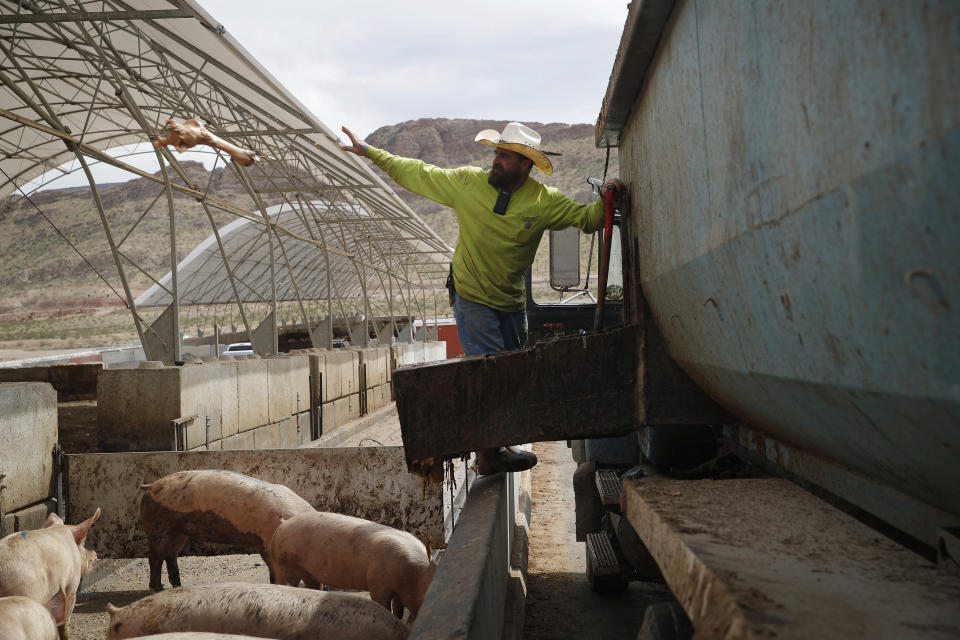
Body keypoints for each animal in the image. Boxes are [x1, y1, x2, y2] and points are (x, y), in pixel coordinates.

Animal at [137, 468, 312, 592]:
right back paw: (157, 589)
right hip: (159, 528)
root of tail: (149, 487)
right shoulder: (265, 542)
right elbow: (273, 567)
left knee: (170, 555)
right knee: (155, 557)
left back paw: (178, 586)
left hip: (179, 532)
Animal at [268, 510, 436, 620]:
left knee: (312, 586)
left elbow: (399, 610)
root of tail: (281, 526)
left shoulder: (399, 593)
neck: (413, 576)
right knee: (285, 583)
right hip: (284, 564)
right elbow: (384, 606)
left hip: (307, 571)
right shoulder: (378, 585)